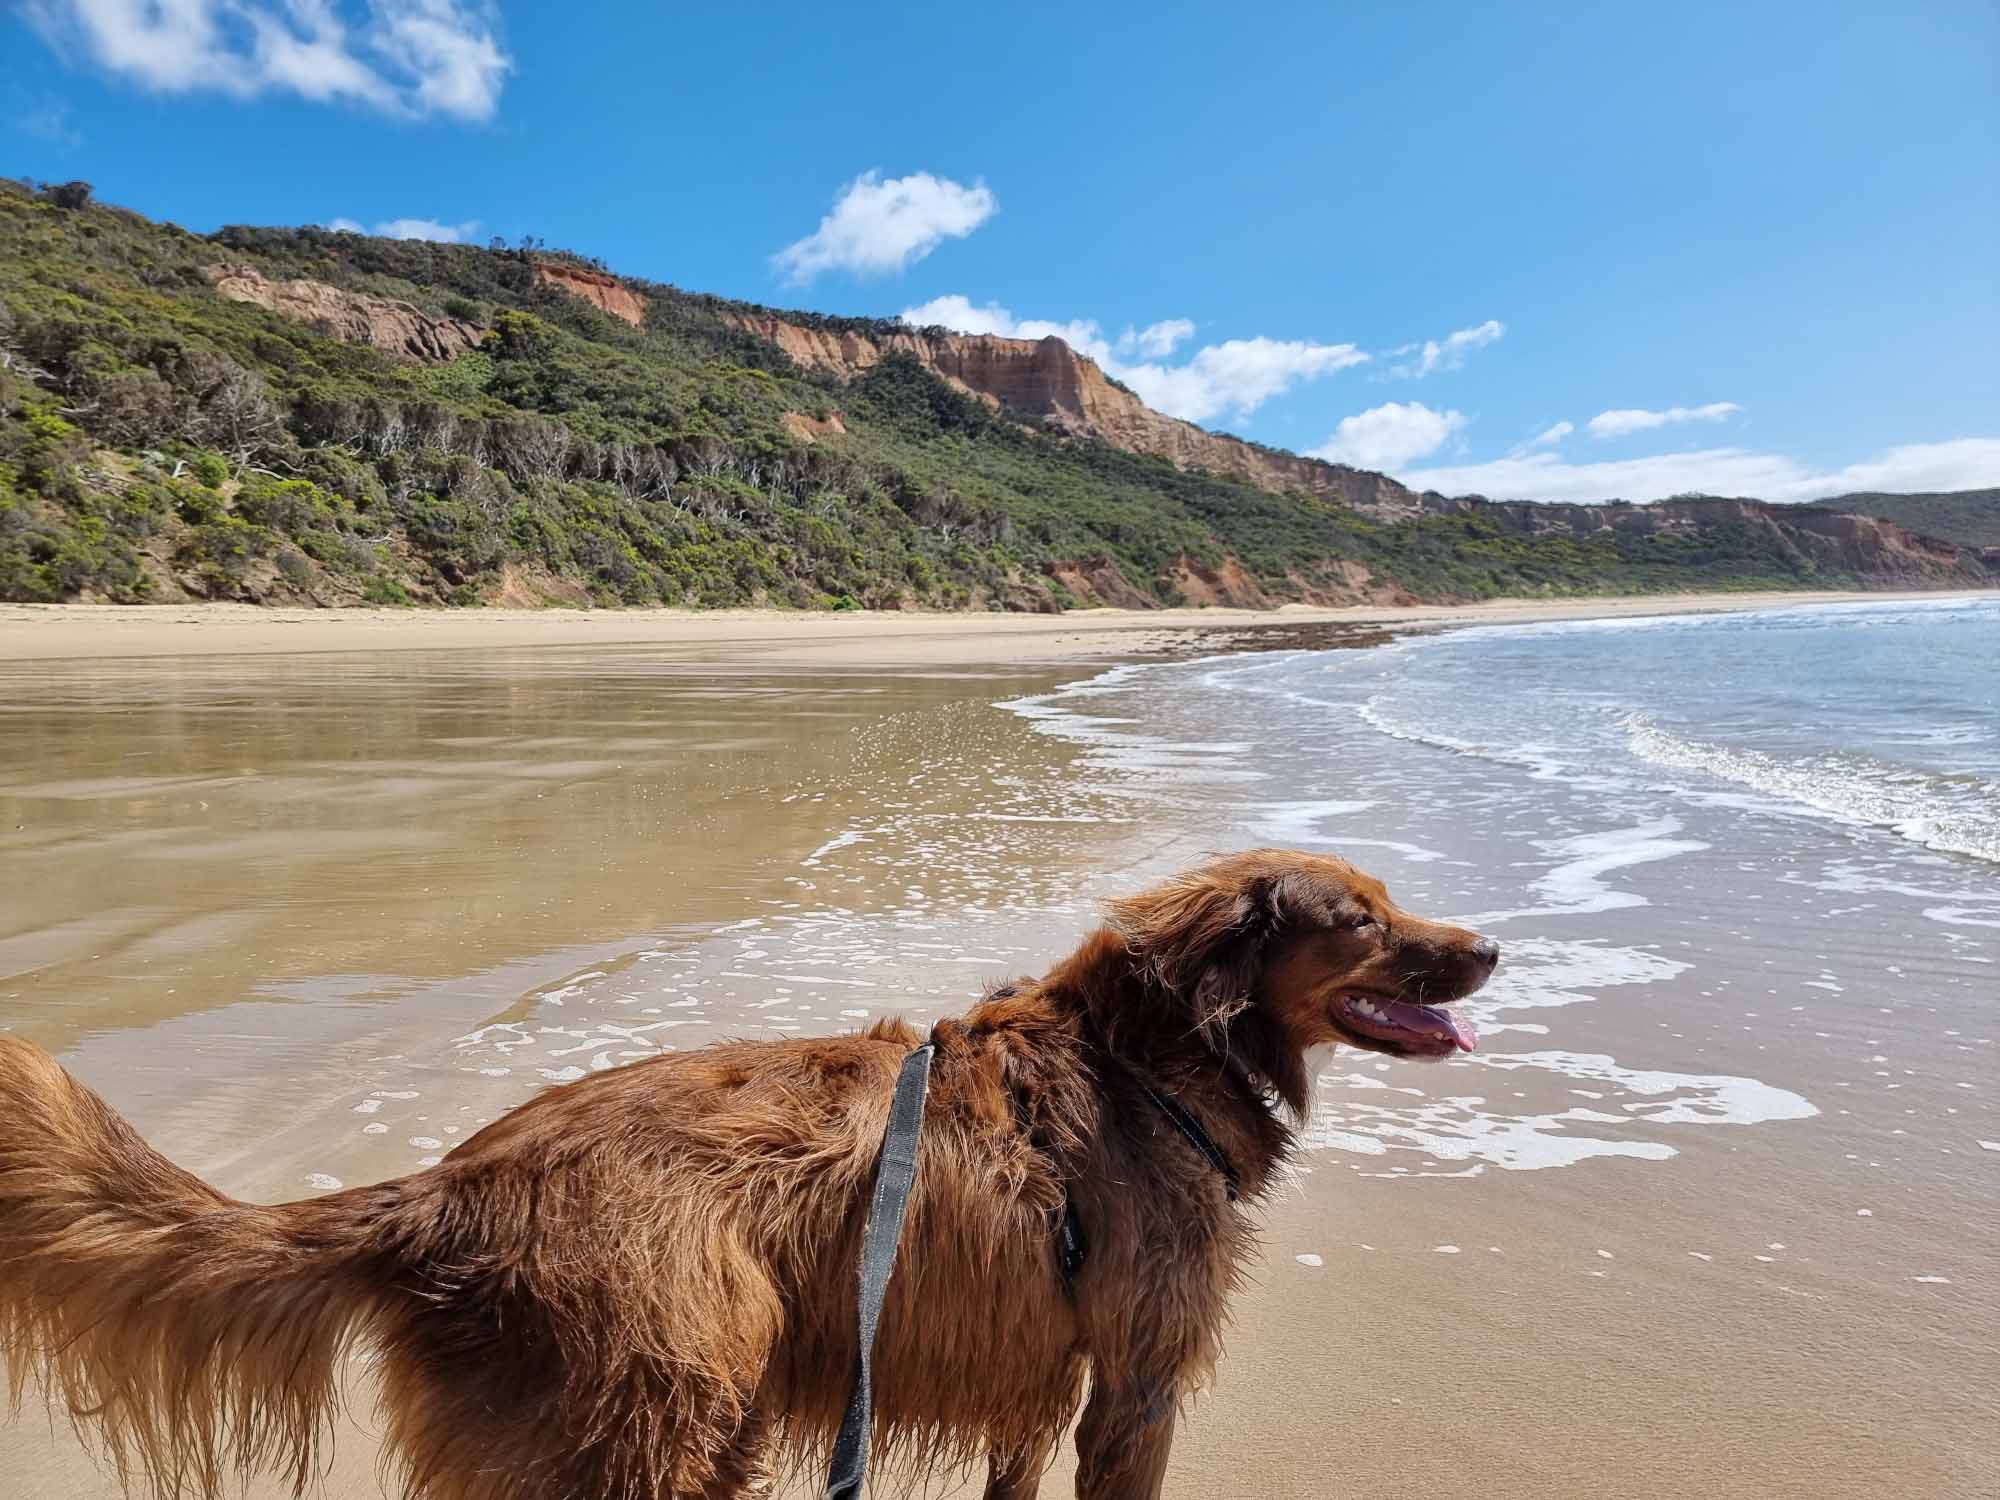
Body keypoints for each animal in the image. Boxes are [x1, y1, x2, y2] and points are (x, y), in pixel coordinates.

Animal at [0, 856, 1496, 1500]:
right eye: (1361, 921)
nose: (1487, 948)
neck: (1145, 1060)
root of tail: (447, 1188)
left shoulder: (1044, 1369)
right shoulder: (1135, 1381)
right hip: (655, 1414)